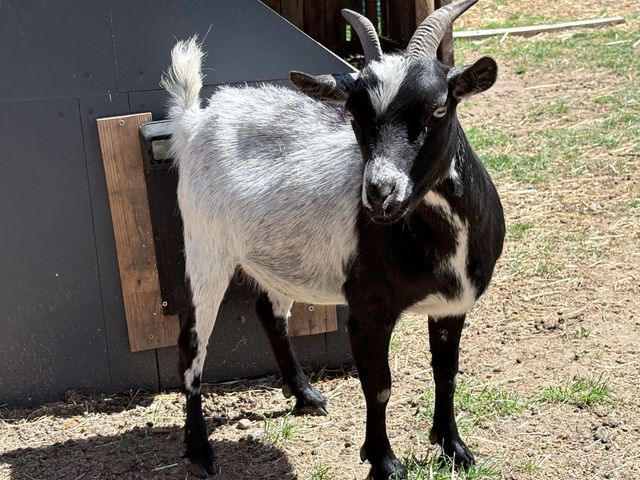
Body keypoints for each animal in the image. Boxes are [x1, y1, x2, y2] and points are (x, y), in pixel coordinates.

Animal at [161, 0, 505, 477]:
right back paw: (200, 450)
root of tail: (195, 121)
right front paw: (383, 461)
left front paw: (453, 447)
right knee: (191, 342)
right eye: (356, 114)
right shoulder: (368, 311)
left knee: (269, 313)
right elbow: (379, 386)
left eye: (439, 109)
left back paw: (305, 395)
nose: (379, 193)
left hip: (275, 258)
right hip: (205, 246)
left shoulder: (453, 306)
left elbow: (446, 372)